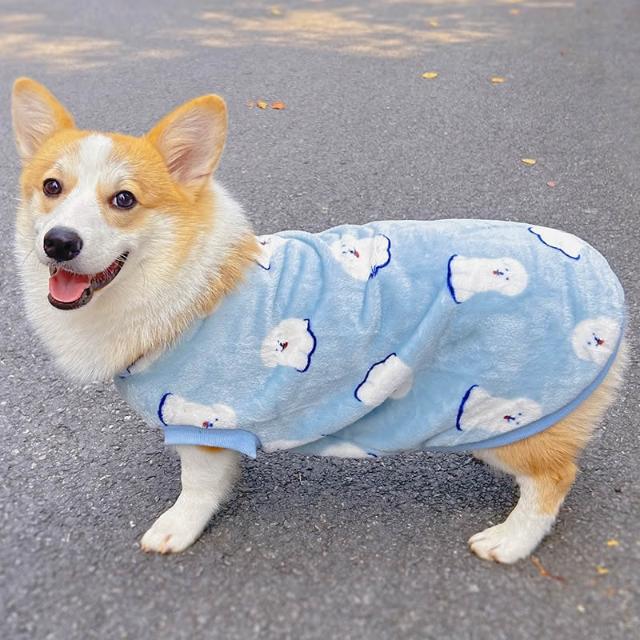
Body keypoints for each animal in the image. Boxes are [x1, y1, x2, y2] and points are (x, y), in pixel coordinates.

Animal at [11, 77, 627, 563]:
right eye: (51, 188)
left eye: (124, 200)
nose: (59, 243)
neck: (183, 285)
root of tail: (605, 278)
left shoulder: (205, 424)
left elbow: (196, 488)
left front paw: (175, 529)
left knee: (554, 477)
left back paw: (510, 540)